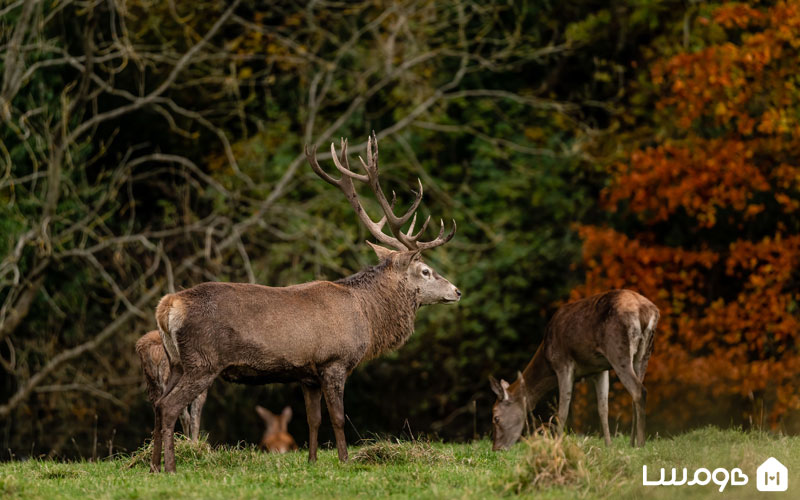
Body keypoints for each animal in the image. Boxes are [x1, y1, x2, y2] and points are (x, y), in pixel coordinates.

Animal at [151, 134, 460, 472]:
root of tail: (168, 306)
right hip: (202, 361)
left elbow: (313, 419)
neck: (366, 314)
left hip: (176, 361)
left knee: (157, 404)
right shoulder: (334, 361)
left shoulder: (307, 374)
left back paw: (152, 466)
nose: (457, 291)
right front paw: (345, 461)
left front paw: (312, 460)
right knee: (169, 406)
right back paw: (170, 467)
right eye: (426, 271)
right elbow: (338, 418)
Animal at [490, 290, 660, 450]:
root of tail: (646, 311)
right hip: (644, 353)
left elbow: (562, 410)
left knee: (639, 390)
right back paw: (632, 443)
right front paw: (608, 445)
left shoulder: (562, 363)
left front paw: (557, 443)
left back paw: (641, 444)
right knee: (635, 395)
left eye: (495, 417)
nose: (496, 448)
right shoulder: (600, 369)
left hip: (618, 350)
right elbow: (603, 408)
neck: (546, 357)